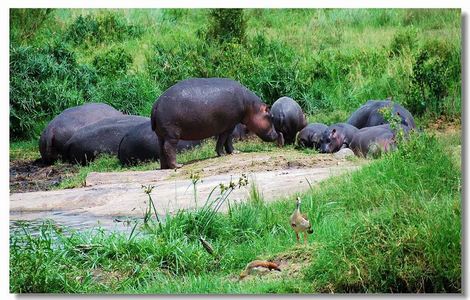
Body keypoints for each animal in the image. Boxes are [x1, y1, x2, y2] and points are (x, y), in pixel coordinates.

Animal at [151, 77, 282, 169]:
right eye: (270, 116)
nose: (276, 134)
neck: (250, 107)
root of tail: (156, 104)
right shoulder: (229, 126)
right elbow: (224, 140)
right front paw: (225, 154)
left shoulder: (229, 125)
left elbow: (227, 140)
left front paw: (232, 152)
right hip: (172, 134)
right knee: (169, 147)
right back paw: (177, 165)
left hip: (161, 135)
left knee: (161, 149)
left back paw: (165, 167)